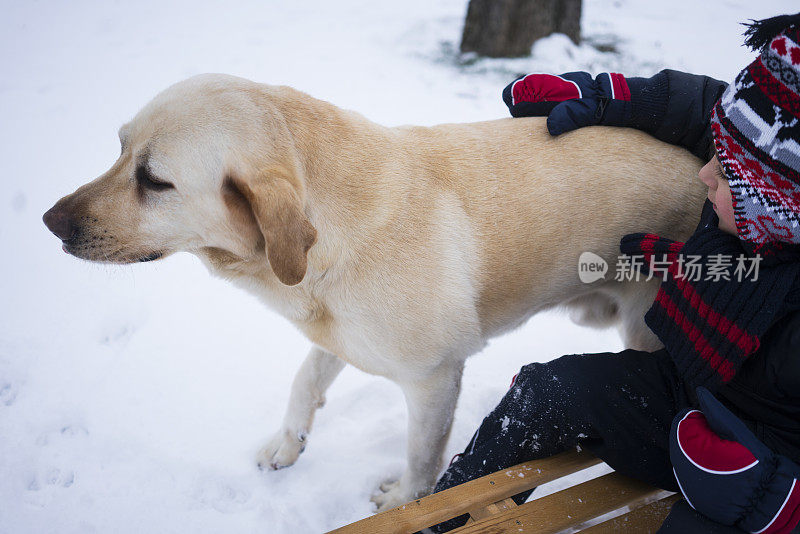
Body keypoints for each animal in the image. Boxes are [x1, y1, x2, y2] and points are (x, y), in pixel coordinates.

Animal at [43, 73, 708, 512]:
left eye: (155, 181)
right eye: (120, 147)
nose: (50, 222)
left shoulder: (435, 377)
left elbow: (421, 459)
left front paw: (404, 501)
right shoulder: (334, 333)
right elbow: (304, 381)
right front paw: (288, 444)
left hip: (644, 332)